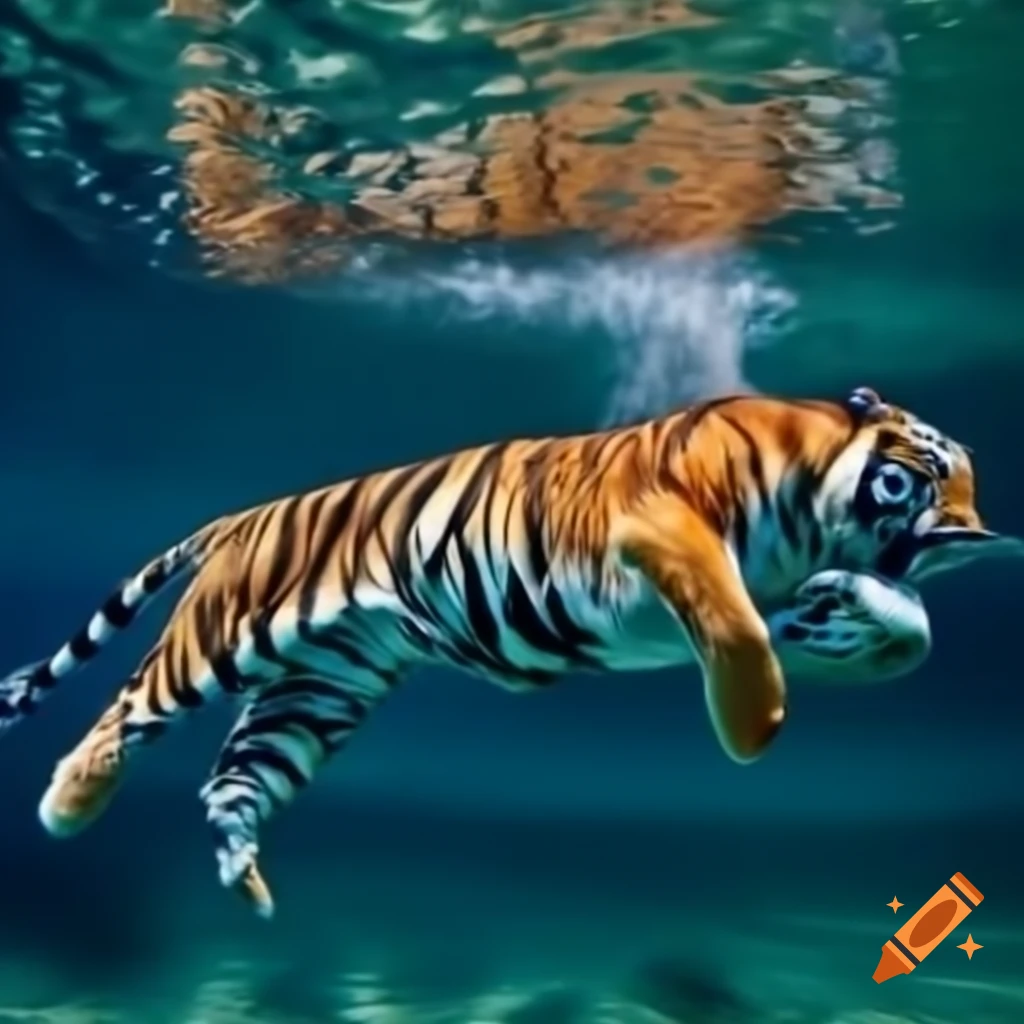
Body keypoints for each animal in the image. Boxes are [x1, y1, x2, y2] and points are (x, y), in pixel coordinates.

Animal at [0, 386, 1019, 919]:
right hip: (223, 640)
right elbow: (733, 624)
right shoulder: (663, 525)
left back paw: (247, 882)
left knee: (233, 781)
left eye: (968, 490)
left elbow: (912, 634)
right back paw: (66, 805)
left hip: (317, 690)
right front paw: (754, 726)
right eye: (910, 480)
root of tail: (239, 516)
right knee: (127, 710)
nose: (969, 534)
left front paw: (840, 622)